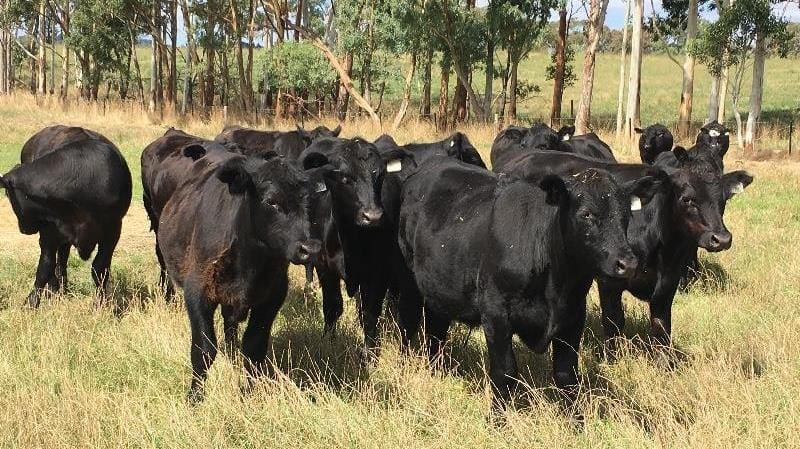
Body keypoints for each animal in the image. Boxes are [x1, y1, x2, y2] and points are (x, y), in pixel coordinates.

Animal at [0, 126, 131, 308]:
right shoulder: (49, 231)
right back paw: (56, 287)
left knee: (63, 257)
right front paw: (32, 302)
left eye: (9, 195)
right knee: (59, 260)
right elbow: (45, 266)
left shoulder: (113, 230)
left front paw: (101, 303)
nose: (24, 229)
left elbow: (100, 268)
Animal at [159, 148, 322, 402]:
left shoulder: (273, 297)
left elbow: (254, 348)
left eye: (311, 200)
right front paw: (195, 397)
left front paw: (248, 393)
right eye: (271, 201)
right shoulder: (197, 292)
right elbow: (203, 349)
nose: (310, 249)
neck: (250, 264)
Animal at [396, 158, 660, 406]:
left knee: (436, 329)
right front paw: (497, 420)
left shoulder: (573, 317)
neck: (557, 287)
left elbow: (567, 375)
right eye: (587, 214)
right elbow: (504, 373)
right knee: (408, 323)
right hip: (409, 282)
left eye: (626, 216)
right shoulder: (495, 313)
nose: (628, 263)